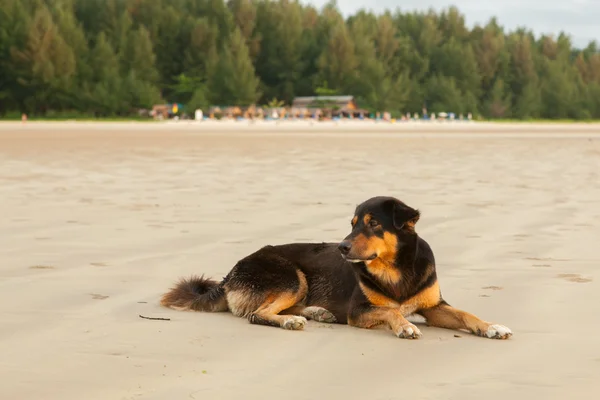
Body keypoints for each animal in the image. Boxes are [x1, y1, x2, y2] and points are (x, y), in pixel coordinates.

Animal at [159, 195, 510, 340]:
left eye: (372, 224)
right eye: (353, 224)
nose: (341, 247)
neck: (396, 269)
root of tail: (230, 273)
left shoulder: (435, 306)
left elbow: (467, 315)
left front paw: (492, 327)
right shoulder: (360, 310)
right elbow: (390, 311)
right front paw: (405, 326)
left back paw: (316, 312)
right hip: (290, 276)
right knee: (258, 313)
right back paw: (293, 321)